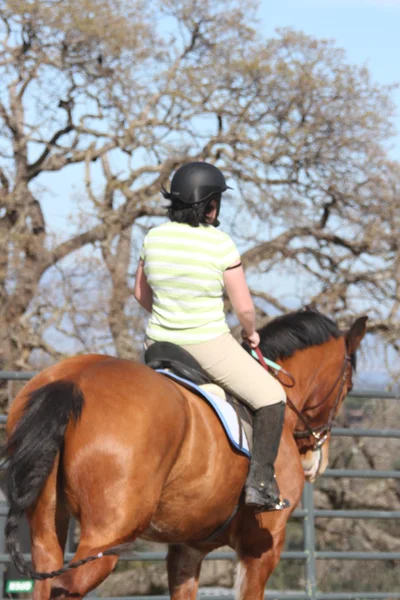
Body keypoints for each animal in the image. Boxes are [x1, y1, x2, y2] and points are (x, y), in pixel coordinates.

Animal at [3, 310, 368, 600]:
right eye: (348, 387)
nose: (316, 460)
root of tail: (75, 380)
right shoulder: (261, 549)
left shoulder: (187, 549)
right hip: (106, 538)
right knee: (68, 586)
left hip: (47, 527)